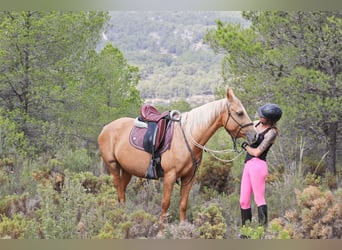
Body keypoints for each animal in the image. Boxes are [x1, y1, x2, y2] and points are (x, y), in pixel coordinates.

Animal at [97, 88, 256, 225]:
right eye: (240, 113)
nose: (254, 135)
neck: (188, 137)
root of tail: (106, 127)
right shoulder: (170, 176)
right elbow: (165, 204)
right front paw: (161, 231)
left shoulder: (188, 177)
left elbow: (183, 204)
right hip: (113, 166)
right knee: (119, 191)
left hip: (127, 170)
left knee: (122, 193)